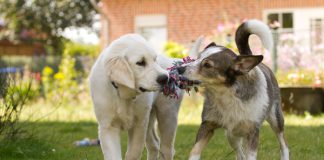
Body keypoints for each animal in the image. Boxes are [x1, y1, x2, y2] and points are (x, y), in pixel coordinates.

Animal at [181, 20, 290, 160]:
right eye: (197, 58)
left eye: (207, 65)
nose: (179, 69)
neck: (226, 94)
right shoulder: (206, 125)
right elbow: (195, 150)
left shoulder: (253, 132)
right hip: (231, 134)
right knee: (240, 152)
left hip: (276, 119)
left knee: (283, 143)